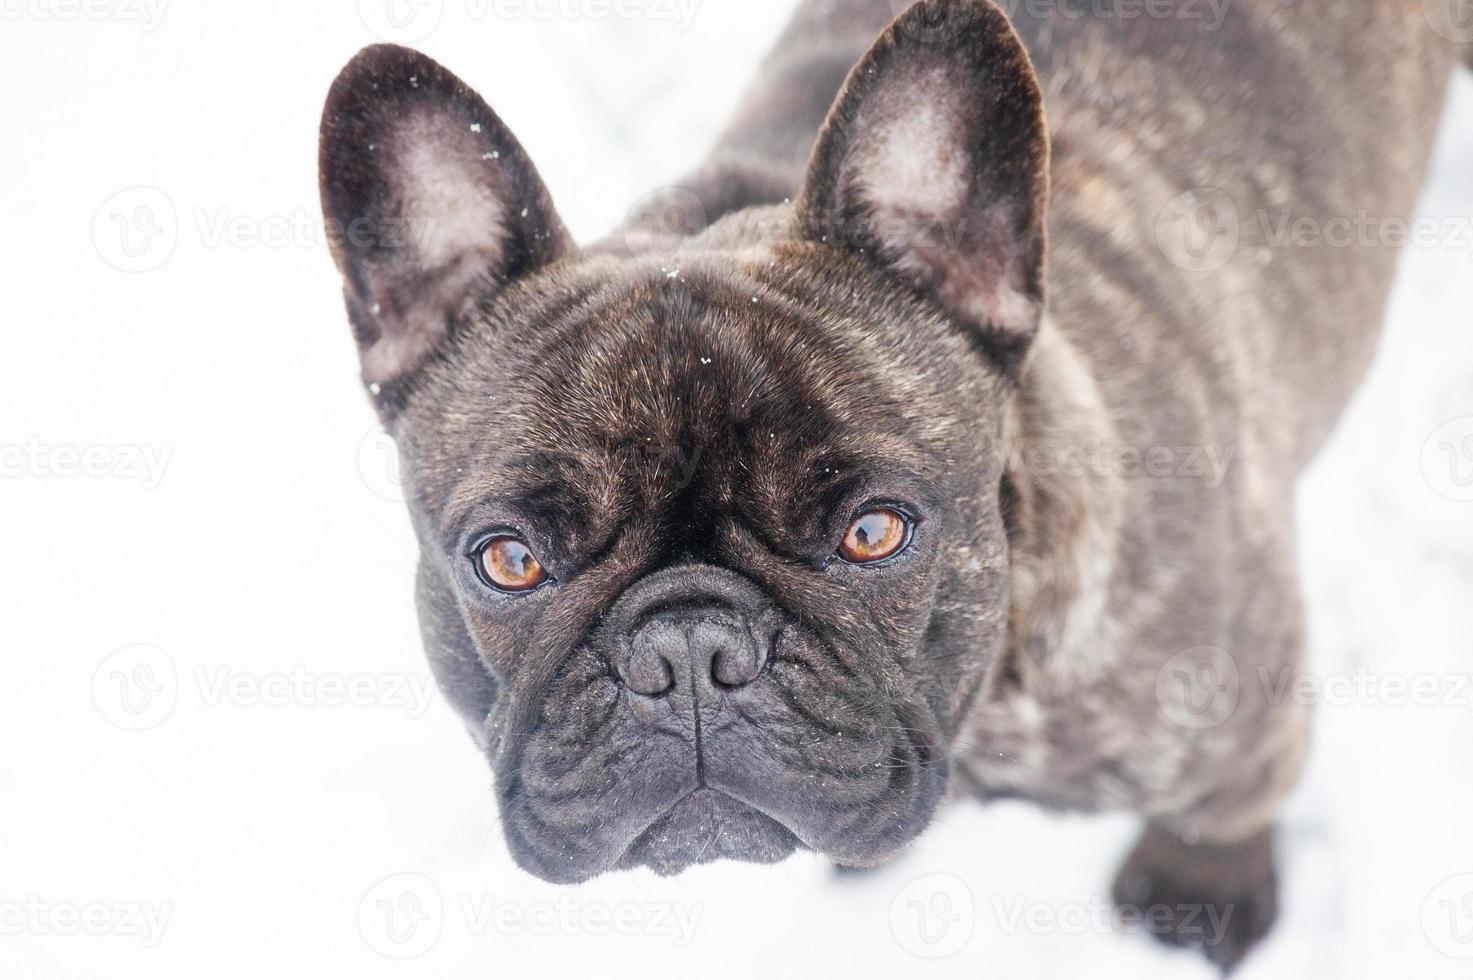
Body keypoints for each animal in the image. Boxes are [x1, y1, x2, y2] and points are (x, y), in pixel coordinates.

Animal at [316, 0, 1467, 960]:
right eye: (507, 560)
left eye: (874, 531)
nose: (687, 651)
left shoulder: (1240, 725)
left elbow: (1219, 810)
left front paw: (1196, 896)